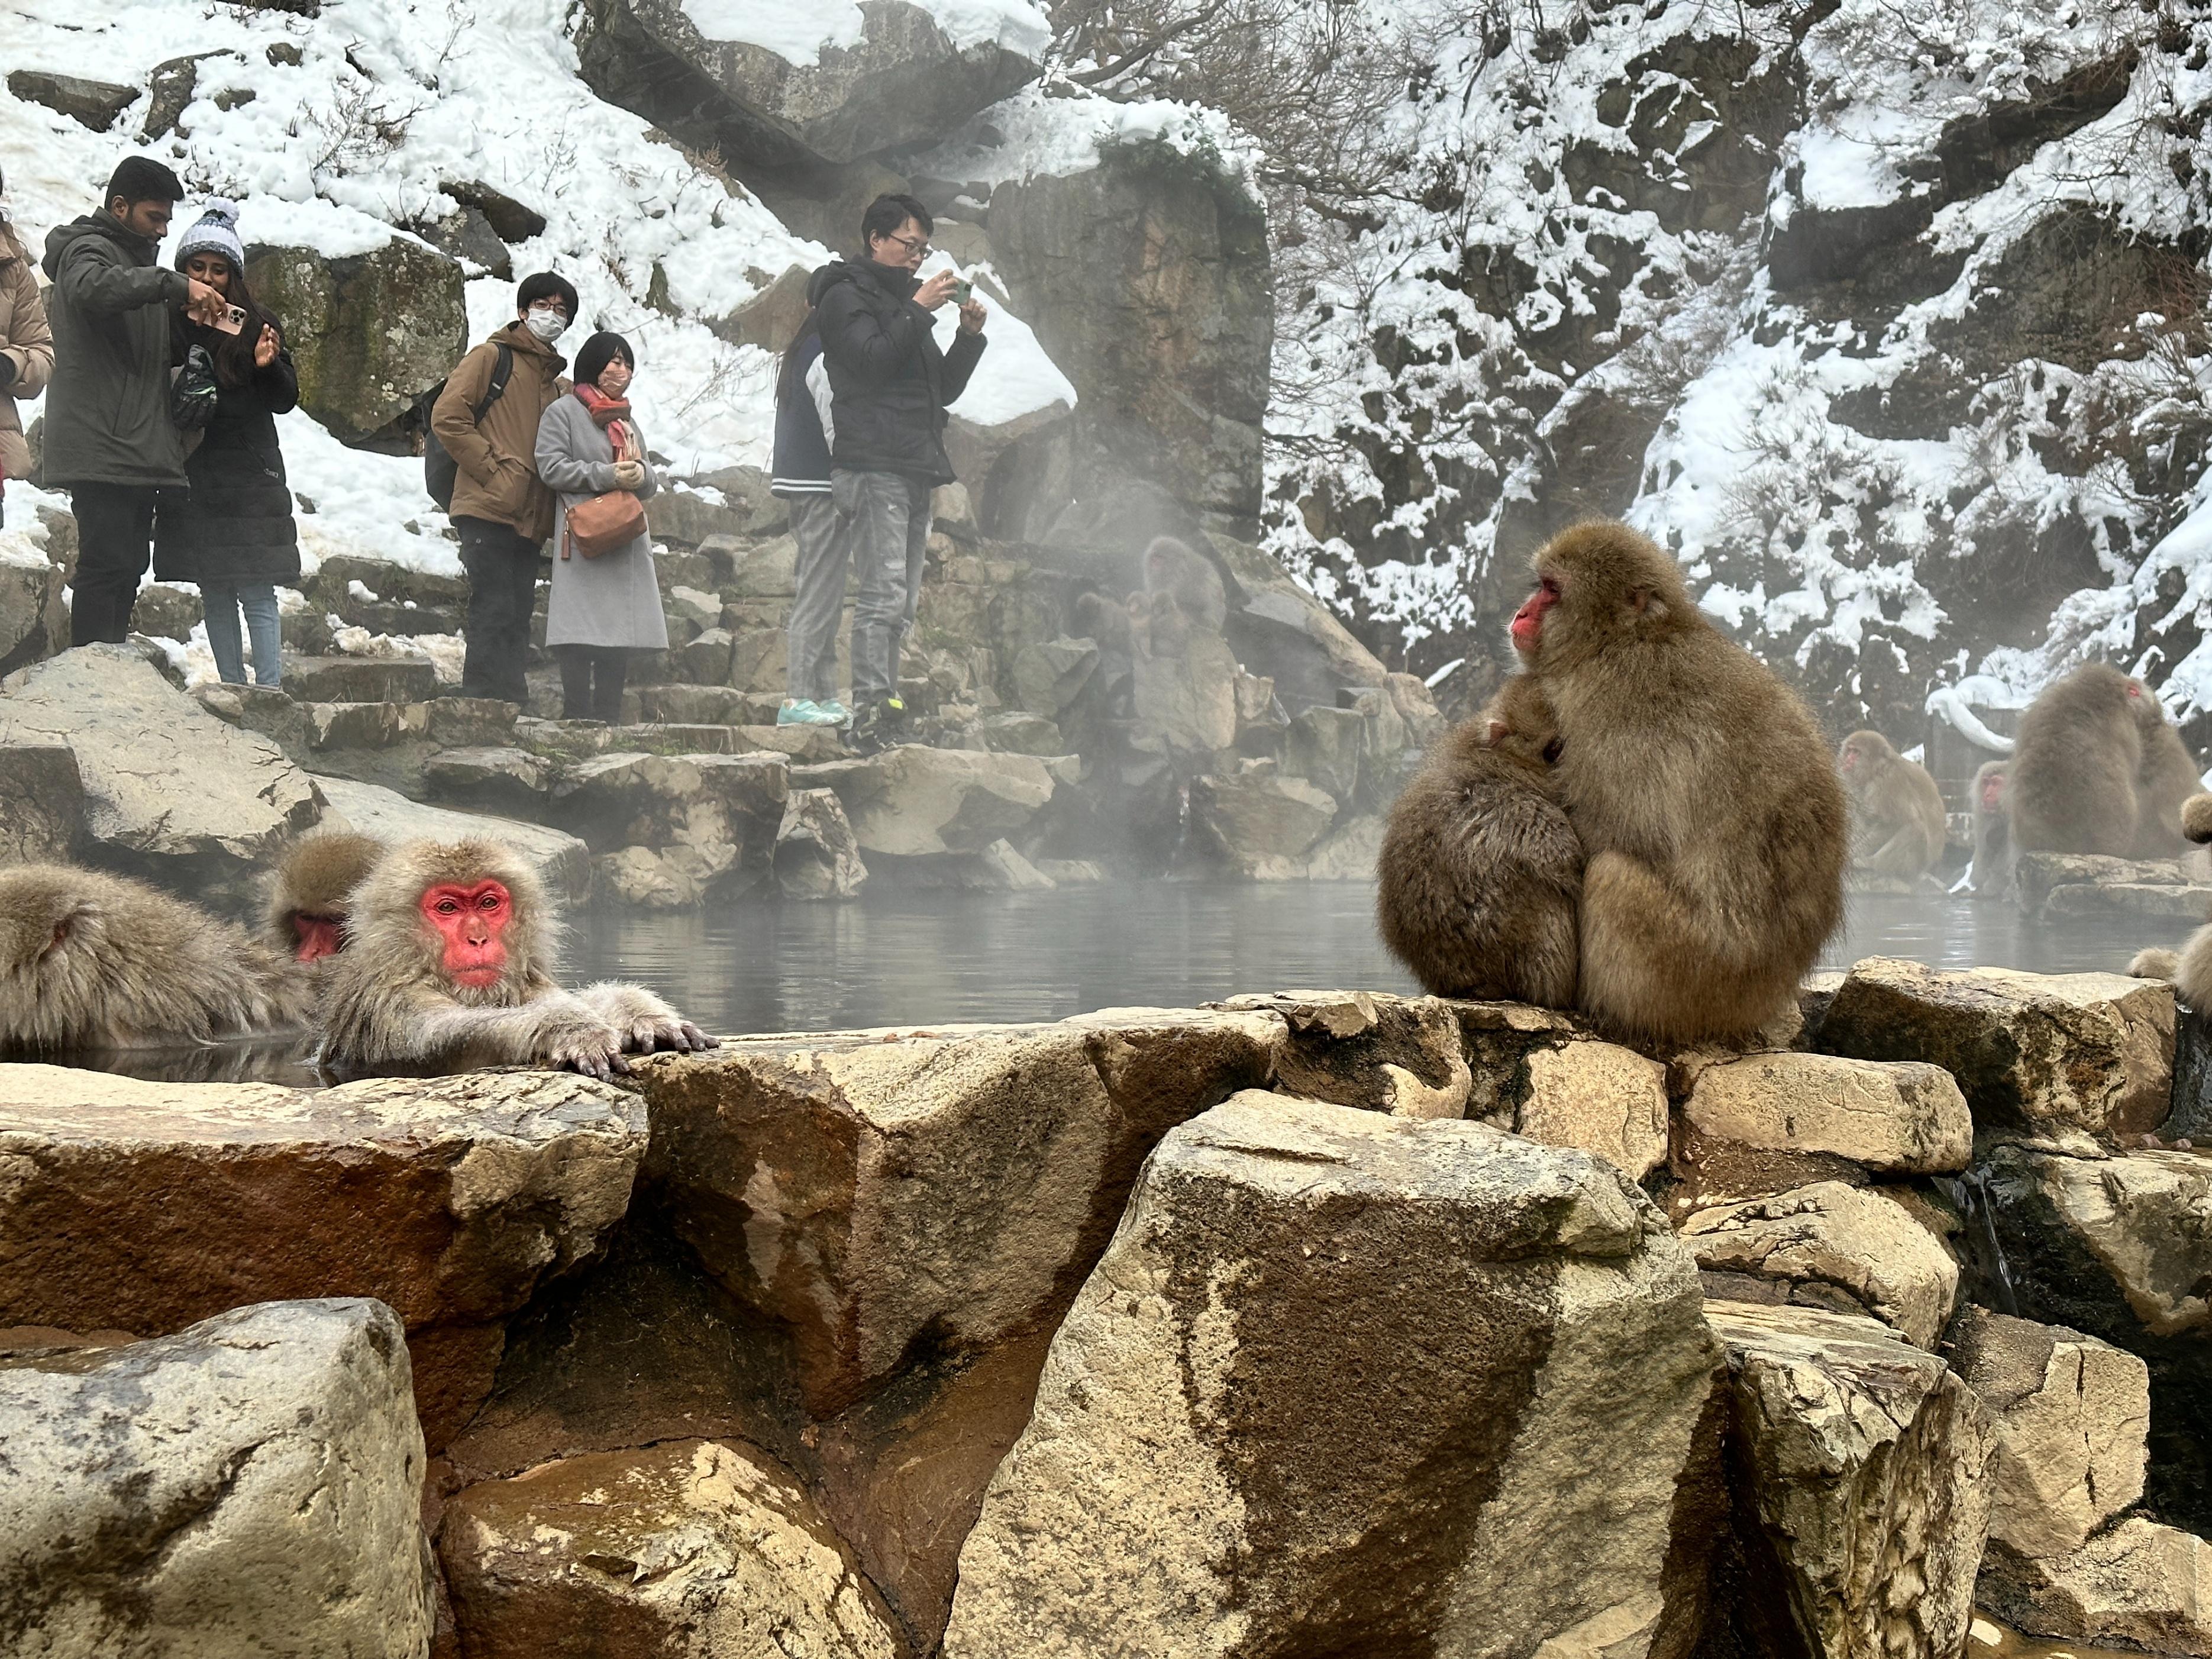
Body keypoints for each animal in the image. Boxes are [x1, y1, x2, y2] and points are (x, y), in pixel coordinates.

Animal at [316, 836, 716, 1083]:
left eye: (488, 903)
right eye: (447, 908)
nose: (478, 938)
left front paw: (642, 1014)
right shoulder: (392, 1002)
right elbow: (440, 1039)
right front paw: (568, 1029)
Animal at [1504, 519, 1849, 1044]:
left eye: (1551, 590)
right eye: (1539, 586)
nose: (1521, 613)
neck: (1617, 642)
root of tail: (1765, 992)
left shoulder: (1606, 711)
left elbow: (1622, 832)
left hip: (1689, 973)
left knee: (1611, 875)